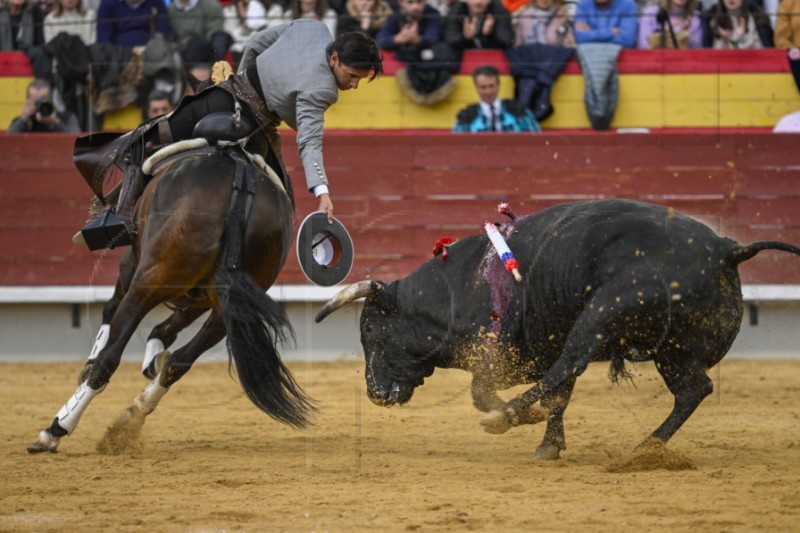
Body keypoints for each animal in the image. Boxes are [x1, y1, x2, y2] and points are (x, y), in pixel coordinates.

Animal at [25, 143, 312, 450]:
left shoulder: (132, 263)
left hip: (150, 278)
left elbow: (111, 310)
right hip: (227, 310)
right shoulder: (202, 298)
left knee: (110, 357)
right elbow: (166, 330)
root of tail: (242, 183)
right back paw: (132, 416)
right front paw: (153, 355)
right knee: (179, 361)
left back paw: (56, 429)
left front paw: (89, 366)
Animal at [316, 198, 796, 458]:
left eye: (370, 332)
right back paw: (648, 445)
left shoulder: (501, 355)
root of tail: (726, 249)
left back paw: (508, 416)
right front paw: (549, 443)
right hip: (672, 350)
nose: (374, 393)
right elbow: (559, 395)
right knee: (693, 389)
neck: (461, 285)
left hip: (604, 311)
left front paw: (521, 417)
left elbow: (484, 391)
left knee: (575, 361)